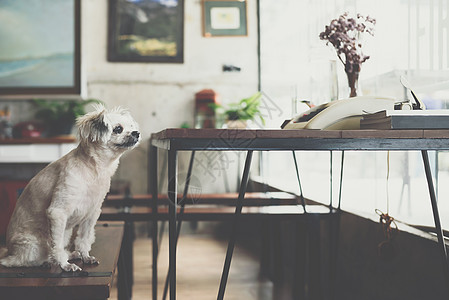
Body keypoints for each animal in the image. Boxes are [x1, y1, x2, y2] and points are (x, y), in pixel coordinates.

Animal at [0, 106, 139, 272]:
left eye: (131, 127)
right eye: (118, 129)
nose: (136, 133)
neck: (93, 169)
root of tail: (9, 251)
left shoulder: (91, 214)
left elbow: (84, 239)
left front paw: (85, 256)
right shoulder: (57, 212)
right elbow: (57, 246)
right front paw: (64, 265)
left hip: (64, 232)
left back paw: (71, 254)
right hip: (34, 244)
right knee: (22, 260)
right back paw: (50, 261)